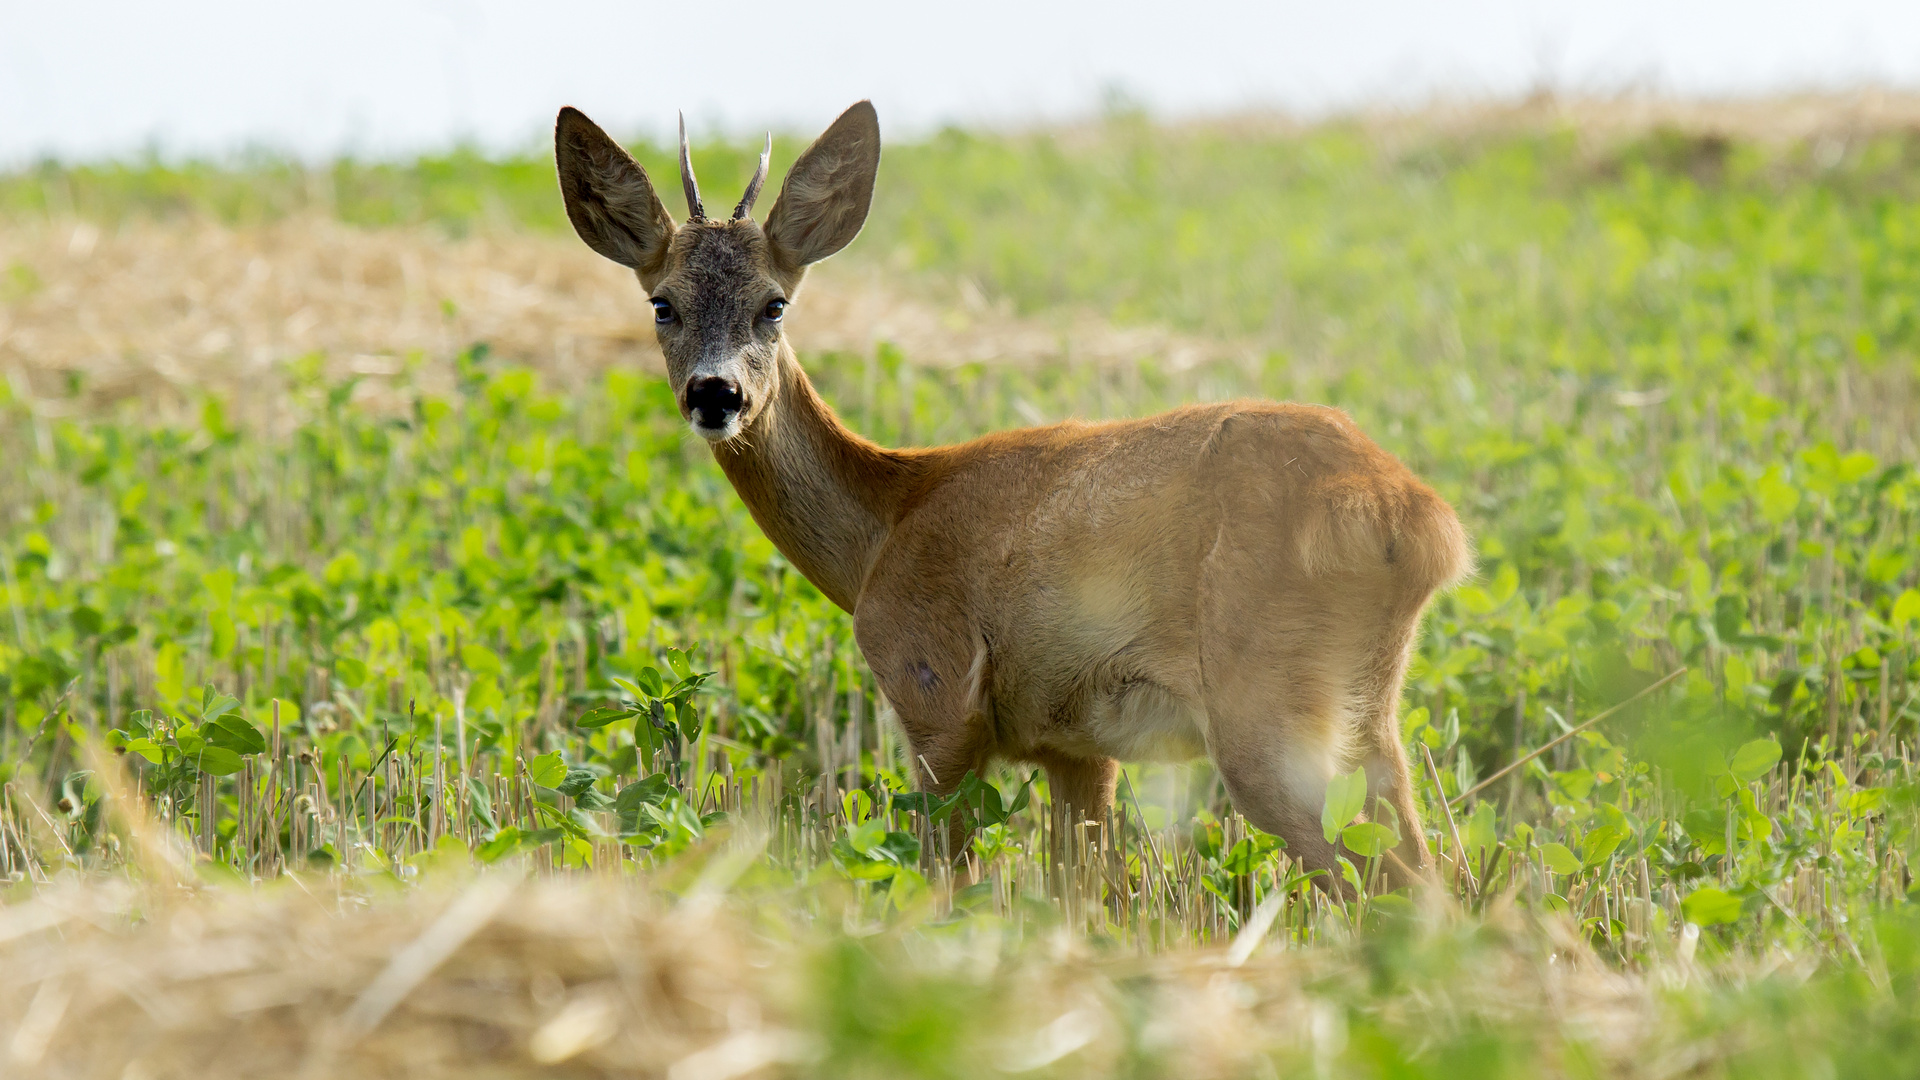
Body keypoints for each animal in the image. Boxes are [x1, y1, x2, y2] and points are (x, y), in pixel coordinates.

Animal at [556, 102, 1466, 883]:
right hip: (1367, 707)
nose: (716, 394)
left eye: (773, 304)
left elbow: (943, 877)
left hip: (1268, 698)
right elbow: (1085, 891)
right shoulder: (1075, 745)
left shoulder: (935, 692)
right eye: (662, 304)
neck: (885, 527)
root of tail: (1420, 520)